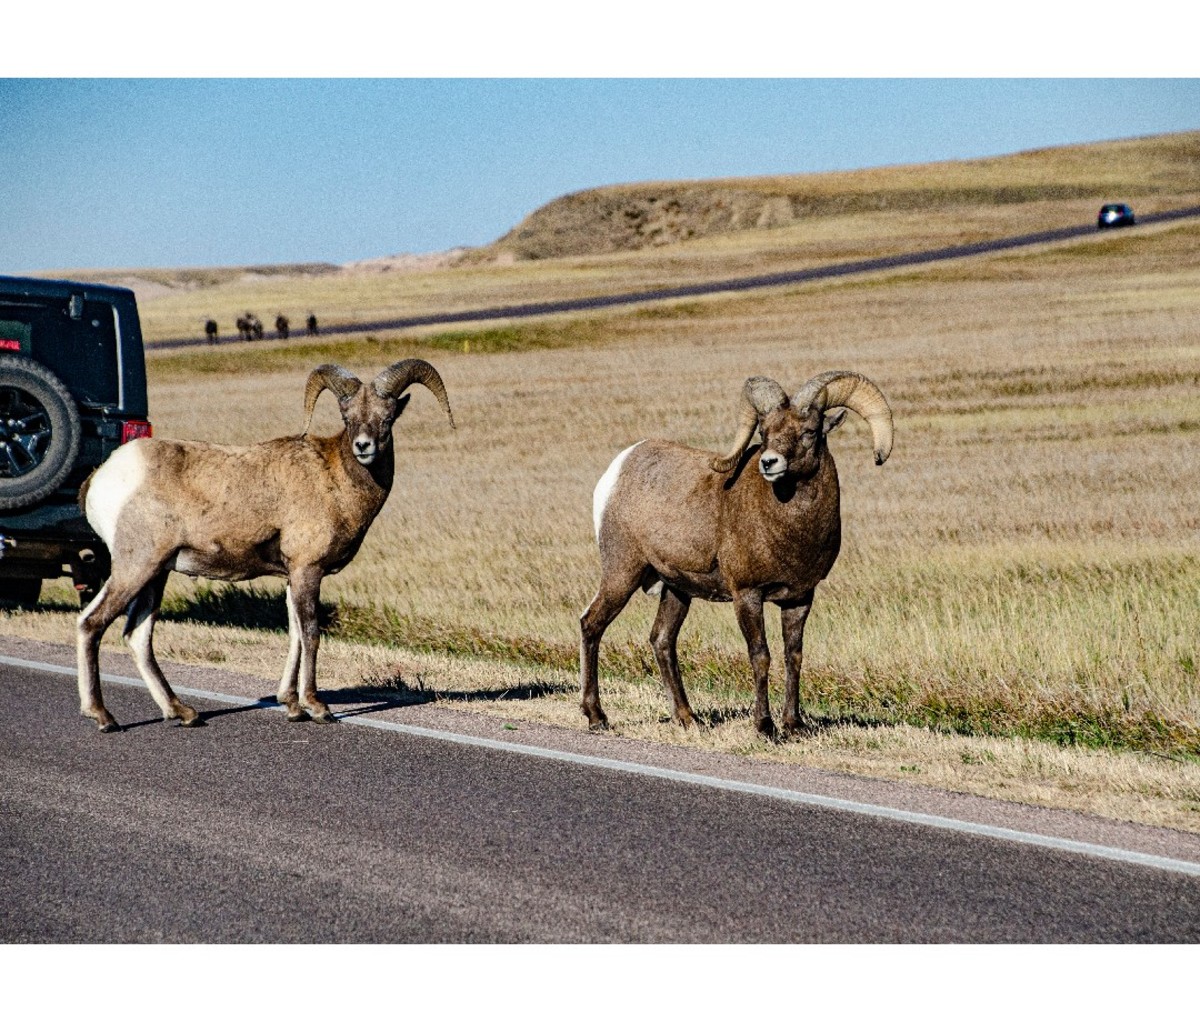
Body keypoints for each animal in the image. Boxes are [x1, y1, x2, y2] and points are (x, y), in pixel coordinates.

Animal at [76, 359, 453, 734]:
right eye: (347, 417)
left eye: (387, 419)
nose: (363, 446)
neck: (334, 479)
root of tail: (102, 477)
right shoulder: (307, 571)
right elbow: (311, 634)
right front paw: (317, 707)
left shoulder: (292, 577)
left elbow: (295, 635)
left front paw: (291, 706)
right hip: (136, 567)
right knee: (91, 623)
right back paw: (103, 716)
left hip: (156, 574)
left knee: (137, 637)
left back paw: (184, 713)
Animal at [580, 371, 892, 738]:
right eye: (764, 432)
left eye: (810, 431)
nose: (770, 463)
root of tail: (616, 471)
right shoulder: (747, 595)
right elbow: (760, 656)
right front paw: (765, 727)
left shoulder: (800, 598)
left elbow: (794, 657)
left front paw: (794, 726)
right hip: (622, 573)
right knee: (592, 625)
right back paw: (597, 717)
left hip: (676, 590)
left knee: (662, 641)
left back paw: (688, 719)